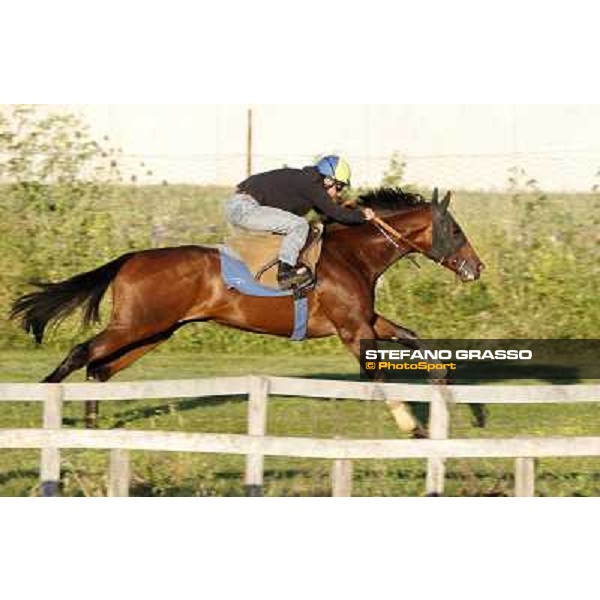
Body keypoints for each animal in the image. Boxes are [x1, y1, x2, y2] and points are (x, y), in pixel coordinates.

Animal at [11, 186, 482, 432]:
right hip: (136, 324)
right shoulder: (353, 330)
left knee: (99, 368)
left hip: (153, 330)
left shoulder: (364, 320)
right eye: (457, 231)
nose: (477, 268)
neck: (352, 254)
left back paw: (91, 425)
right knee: (81, 354)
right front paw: (413, 427)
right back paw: (43, 401)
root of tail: (130, 258)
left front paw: (445, 388)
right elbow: (380, 375)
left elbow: (414, 337)